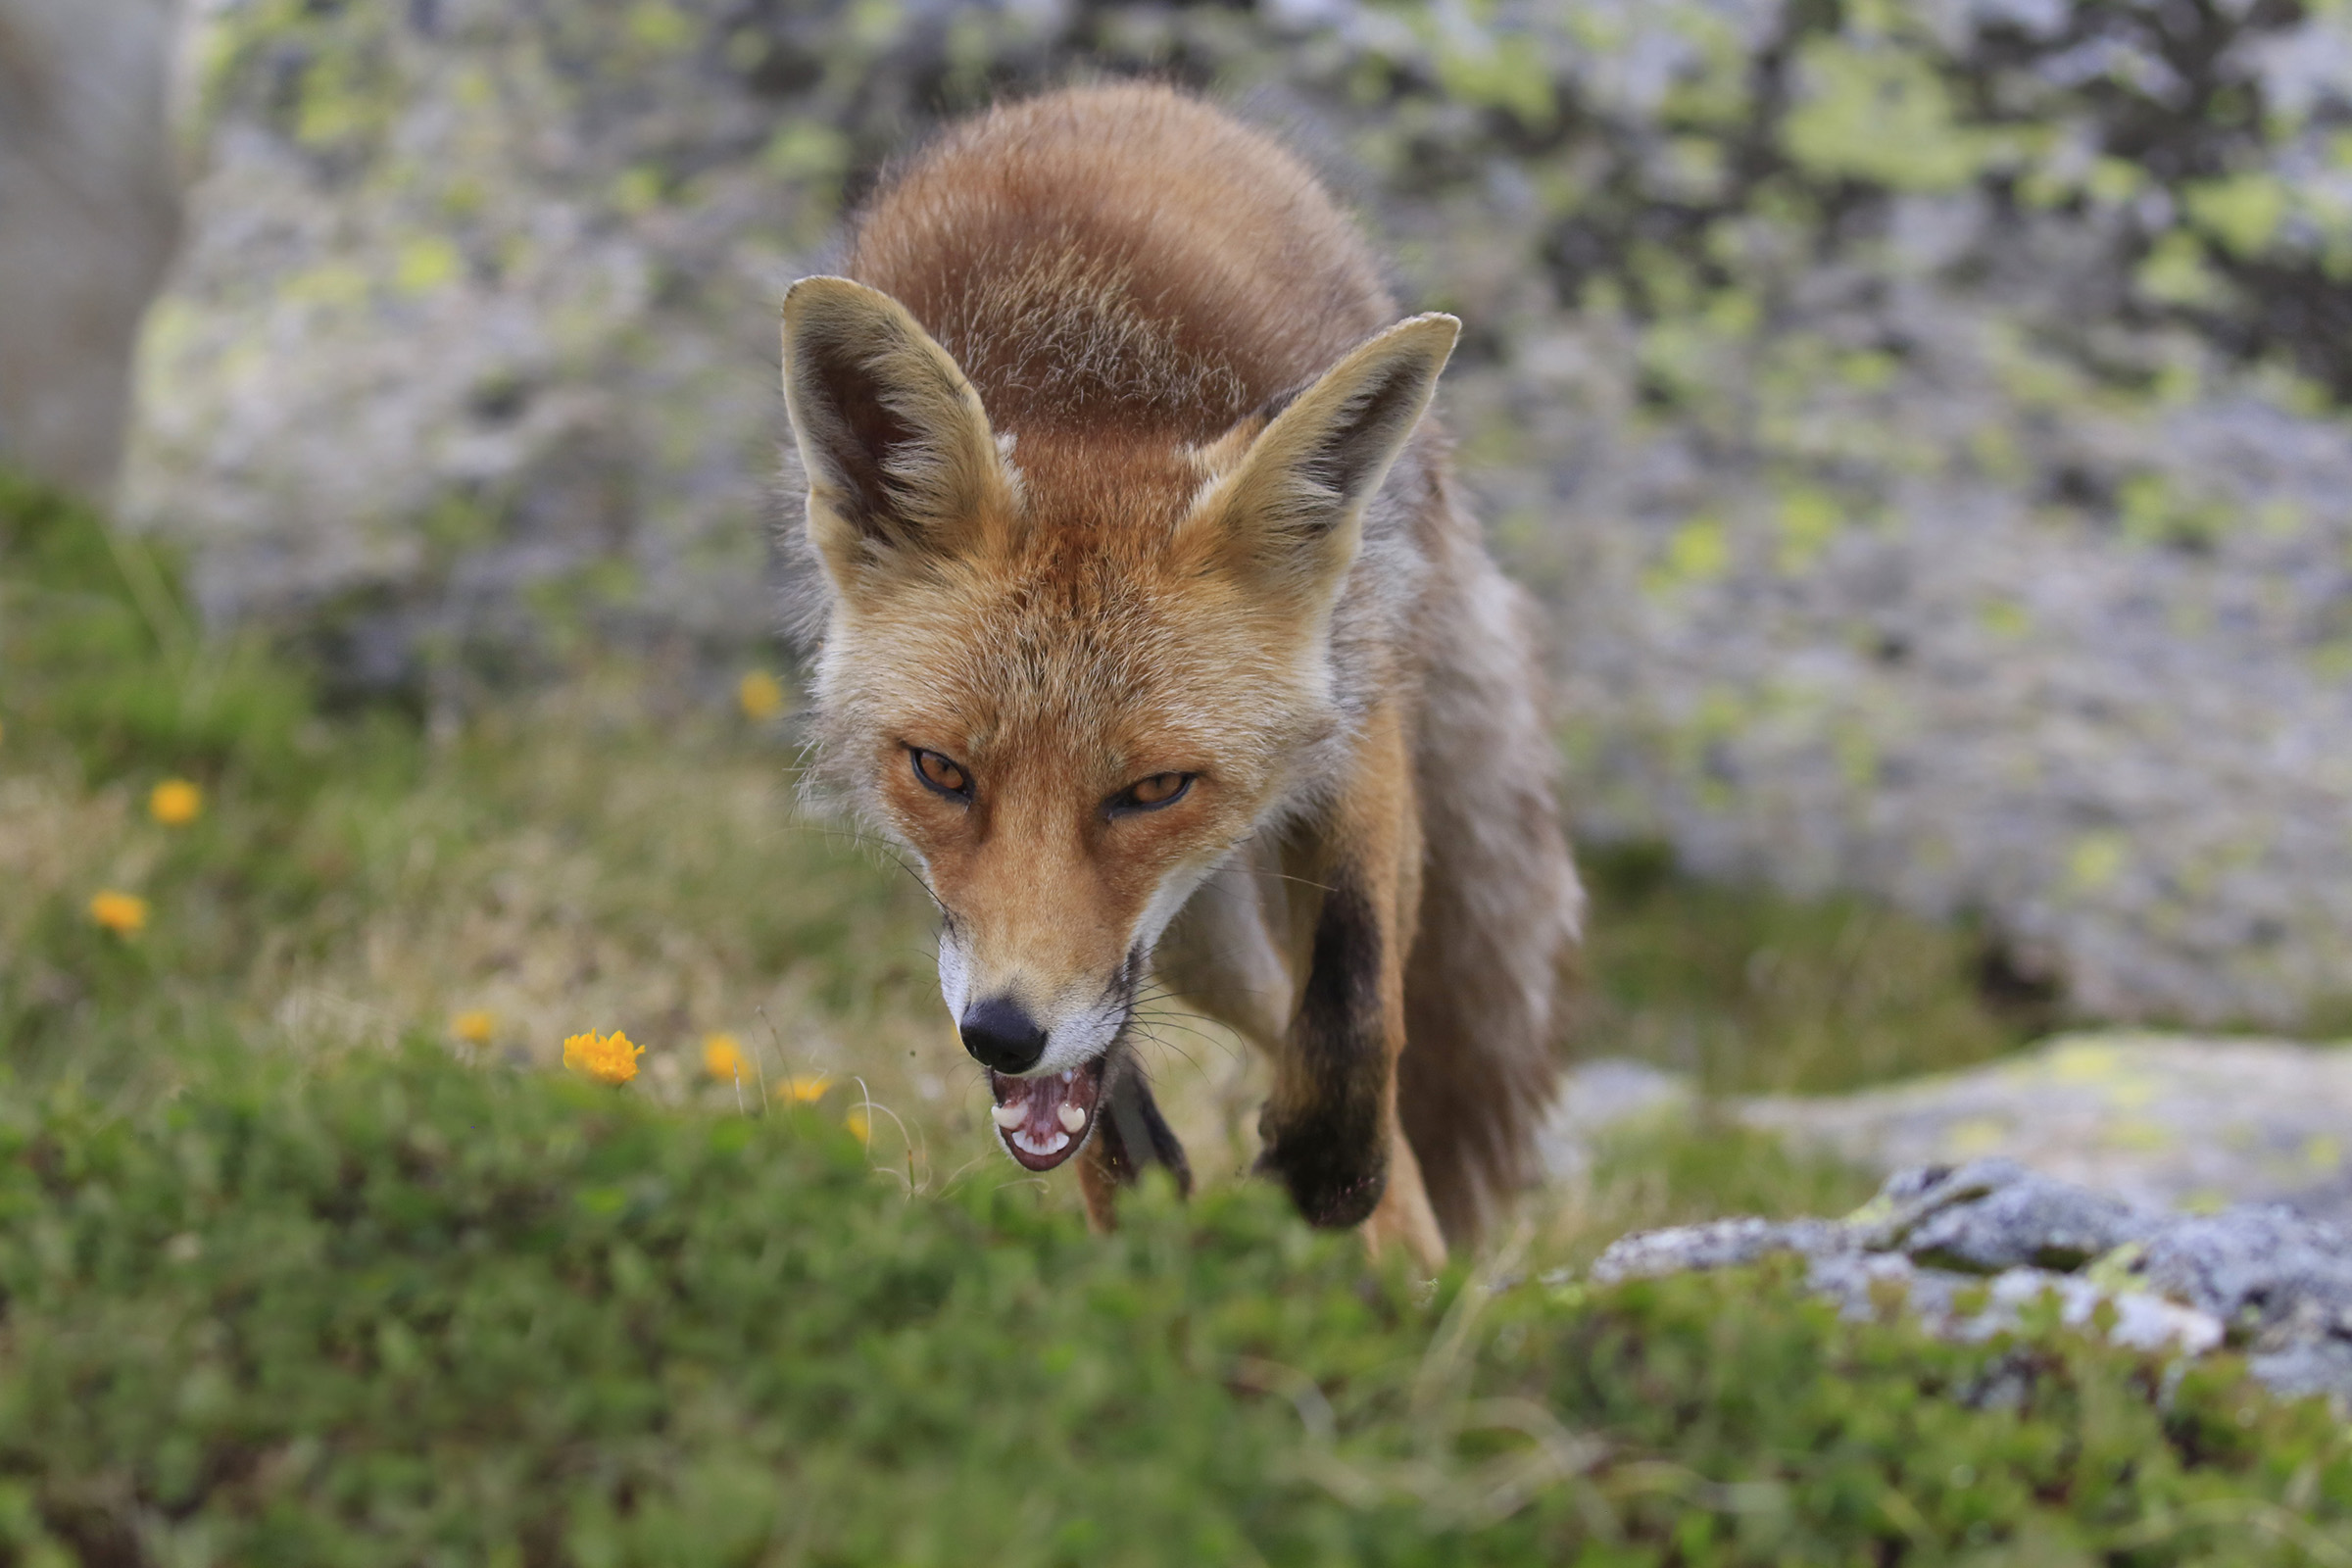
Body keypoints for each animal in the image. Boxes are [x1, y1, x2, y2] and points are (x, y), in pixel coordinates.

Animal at [779, 83, 1582, 1270]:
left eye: (1155, 790)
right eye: (940, 772)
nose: (1001, 1035)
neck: (1094, 379)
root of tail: (1110, 92)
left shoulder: (1352, 704)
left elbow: (1356, 993)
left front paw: (1328, 1170)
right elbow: (1098, 1103)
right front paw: (1144, 1232)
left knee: (1327, 1017)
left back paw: (1414, 1269)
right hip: (1199, 936)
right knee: (1260, 1008)